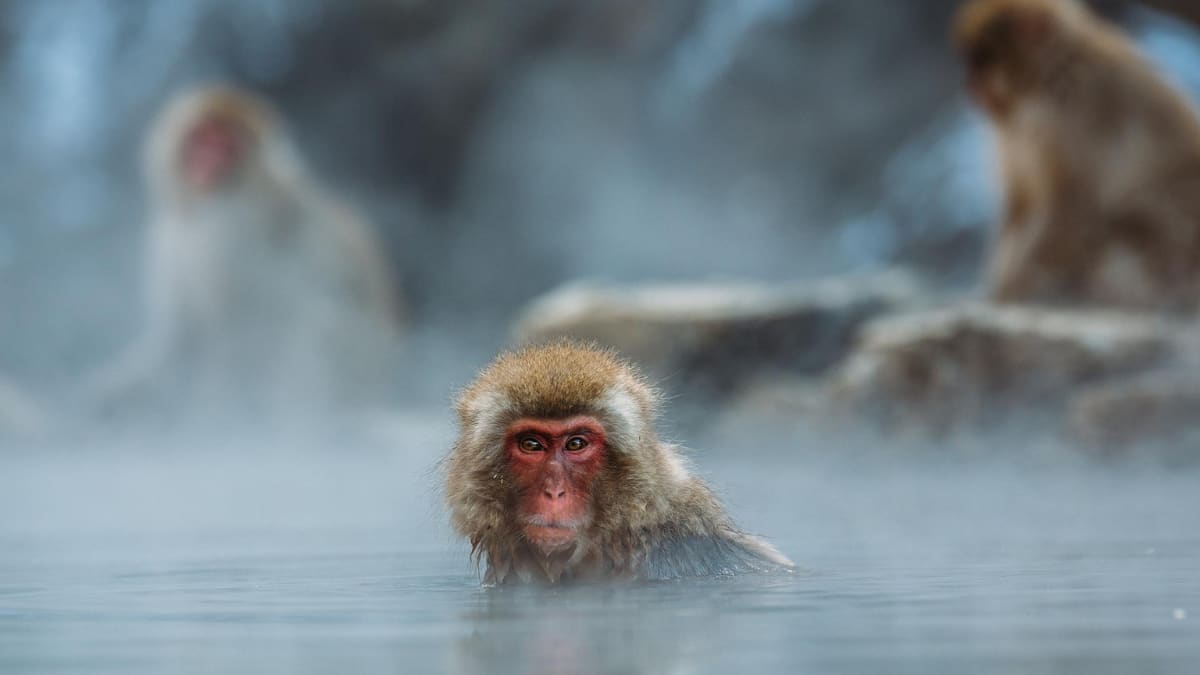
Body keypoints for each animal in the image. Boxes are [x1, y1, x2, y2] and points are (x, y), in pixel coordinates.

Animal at [86, 85, 403, 422]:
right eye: (201, 137)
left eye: (228, 147)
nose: (208, 163)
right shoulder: (169, 238)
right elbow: (181, 339)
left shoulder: (231, 235)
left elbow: (236, 329)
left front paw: (216, 407)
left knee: (314, 319)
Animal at [954, 0, 1200, 310]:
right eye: (972, 60)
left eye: (984, 59)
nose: (969, 84)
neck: (1047, 79)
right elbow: (1021, 205)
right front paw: (997, 287)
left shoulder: (1074, 117)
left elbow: (1073, 209)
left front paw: (1009, 292)